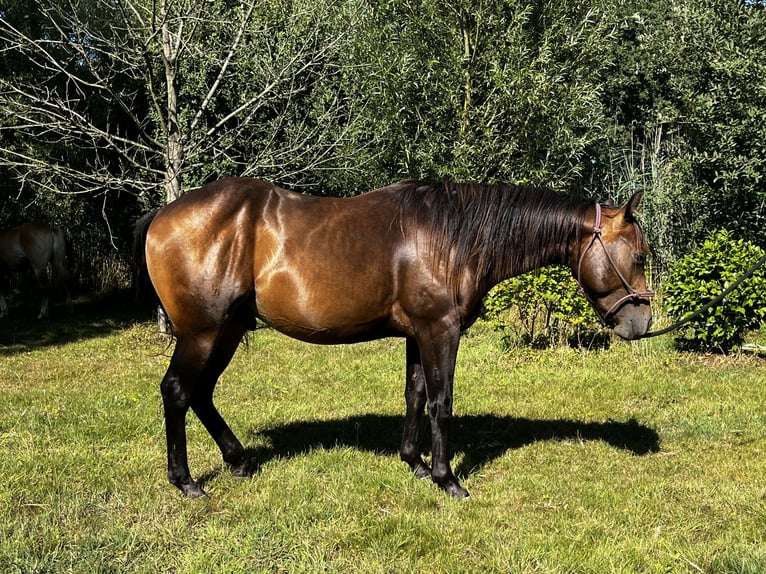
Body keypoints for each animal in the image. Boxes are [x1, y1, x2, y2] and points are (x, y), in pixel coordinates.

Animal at [134, 177, 653, 499]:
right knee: (177, 391)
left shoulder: (416, 334)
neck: (453, 237)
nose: (642, 324)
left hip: (227, 329)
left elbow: (415, 395)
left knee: (200, 393)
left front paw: (415, 463)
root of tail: (162, 214)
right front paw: (447, 479)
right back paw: (186, 482)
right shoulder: (439, 330)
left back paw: (238, 460)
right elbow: (441, 402)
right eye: (641, 256)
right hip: (202, 332)